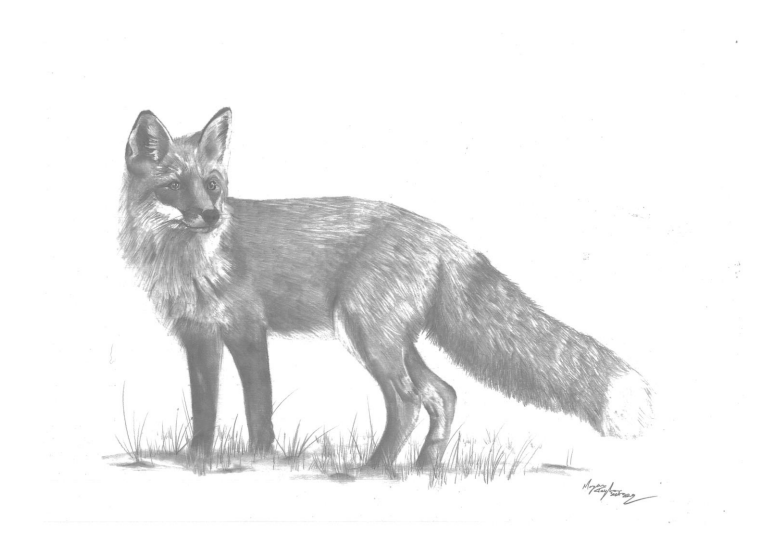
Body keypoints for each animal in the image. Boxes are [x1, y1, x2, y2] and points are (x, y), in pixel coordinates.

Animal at [120, 108, 652, 468]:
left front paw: (258, 459)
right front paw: (198, 459)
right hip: (390, 340)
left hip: (366, 335)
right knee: (443, 393)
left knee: (409, 400)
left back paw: (374, 469)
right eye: (173, 187)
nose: (211, 216)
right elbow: (205, 408)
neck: (188, 261)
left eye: (212, 184)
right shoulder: (198, 336)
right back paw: (422, 468)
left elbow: (257, 408)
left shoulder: (249, 330)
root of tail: (444, 235)